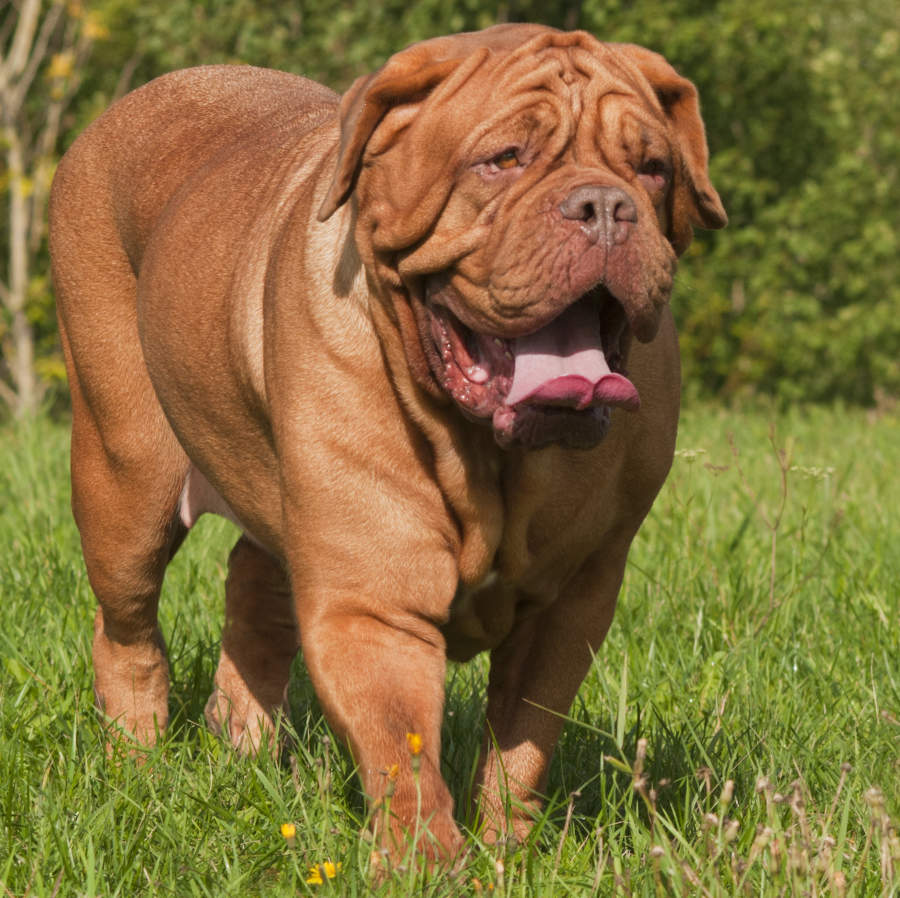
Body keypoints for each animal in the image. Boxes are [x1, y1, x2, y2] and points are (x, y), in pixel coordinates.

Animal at [47, 22, 724, 860]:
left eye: (653, 167)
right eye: (504, 158)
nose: (605, 205)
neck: (492, 457)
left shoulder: (572, 602)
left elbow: (524, 742)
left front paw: (505, 850)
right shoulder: (372, 599)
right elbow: (402, 744)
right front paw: (427, 861)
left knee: (254, 592)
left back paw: (242, 739)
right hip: (125, 479)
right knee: (127, 629)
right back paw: (136, 759)